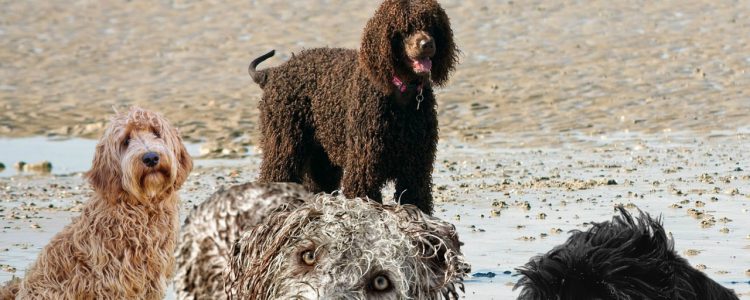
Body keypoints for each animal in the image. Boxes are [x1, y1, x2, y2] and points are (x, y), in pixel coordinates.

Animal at [250, 0, 458, 216]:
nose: (427, 44)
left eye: (432, 26)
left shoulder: (416, 171)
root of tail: (273, 72)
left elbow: (417, 200)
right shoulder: (363, 170)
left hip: (322, 158)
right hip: (283, 143)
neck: (401, 92)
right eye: (405, 28)